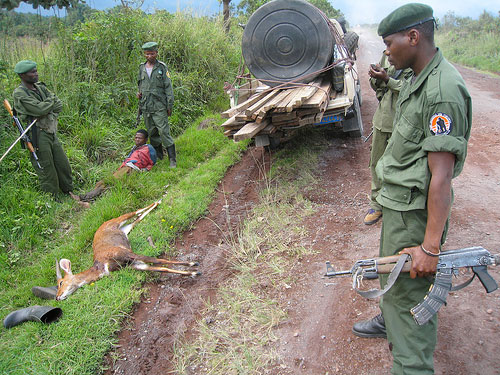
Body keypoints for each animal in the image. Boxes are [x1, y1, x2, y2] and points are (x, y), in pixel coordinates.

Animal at [55, 201, 201, 302]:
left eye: (60, 282)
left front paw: (194, 265)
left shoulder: (127, 254)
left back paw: (158, 201)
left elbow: (158, 260)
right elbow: (161, 268)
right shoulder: (134, 264)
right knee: (137, 219)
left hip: (120, 220)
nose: (57, 297)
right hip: (126, 228)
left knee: (135, 211)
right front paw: (193, 272)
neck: (102, 266)